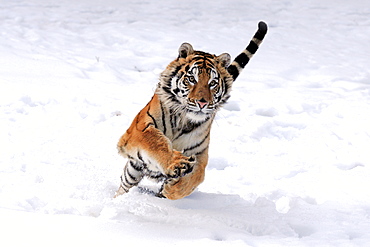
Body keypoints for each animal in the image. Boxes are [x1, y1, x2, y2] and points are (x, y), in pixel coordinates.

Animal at [114, 20, 268, 199]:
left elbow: (197, 175)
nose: (202, 103)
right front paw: (176, 163)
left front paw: (171, 189)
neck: (183, 119)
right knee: (125, 184)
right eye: (191, 79)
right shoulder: (139, 129)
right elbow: (156, 143)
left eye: (212, 83)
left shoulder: (200, 152)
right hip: (133, 169)